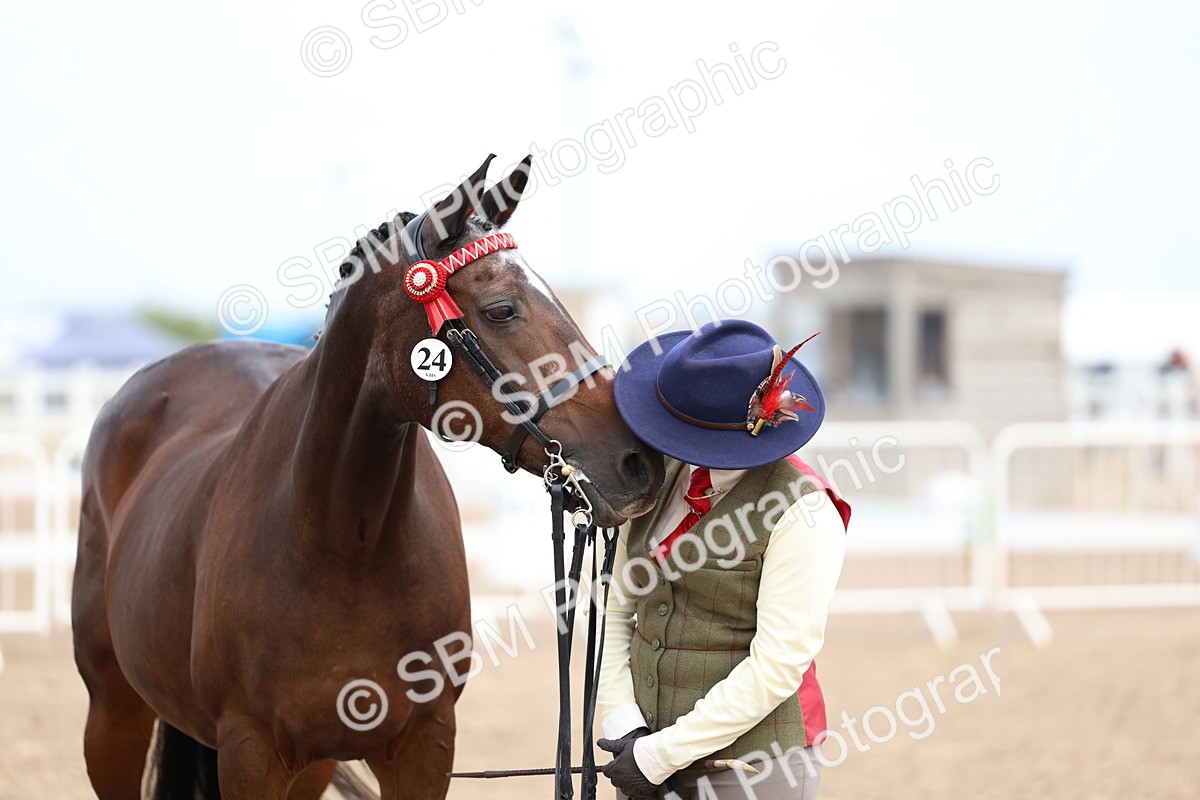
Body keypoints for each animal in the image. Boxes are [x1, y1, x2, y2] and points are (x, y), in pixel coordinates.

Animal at [71, 154, 666, 799]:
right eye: (502, 309)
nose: (639, 461)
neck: (345, 544)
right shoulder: (250, 754)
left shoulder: (424, 748)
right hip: (113, 720)